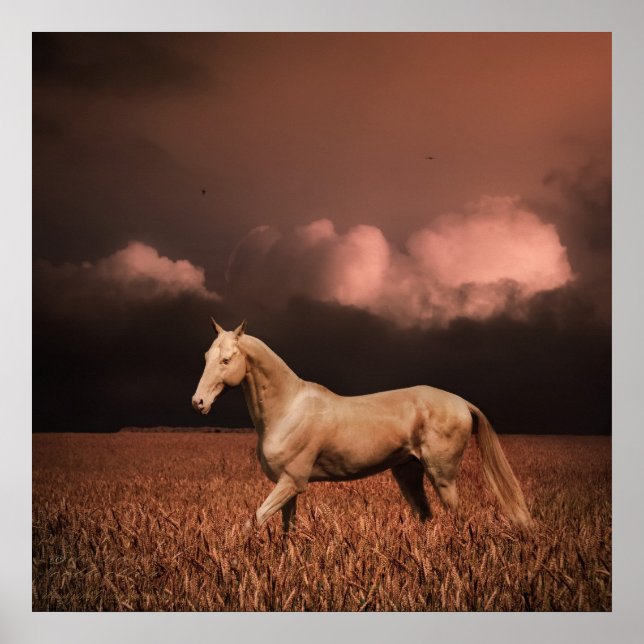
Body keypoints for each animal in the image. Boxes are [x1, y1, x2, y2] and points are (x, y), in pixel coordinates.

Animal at [191, 319, 532, 533]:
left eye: (226, 360)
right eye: (206, 356)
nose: (198, 402)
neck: (288, 408)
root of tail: (461, 402)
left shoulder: (290, 483)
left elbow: (253, 522)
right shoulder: (287, 487)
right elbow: (286, 531)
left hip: (443, 476)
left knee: (457, 517)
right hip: (408, 473)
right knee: (426, 516)